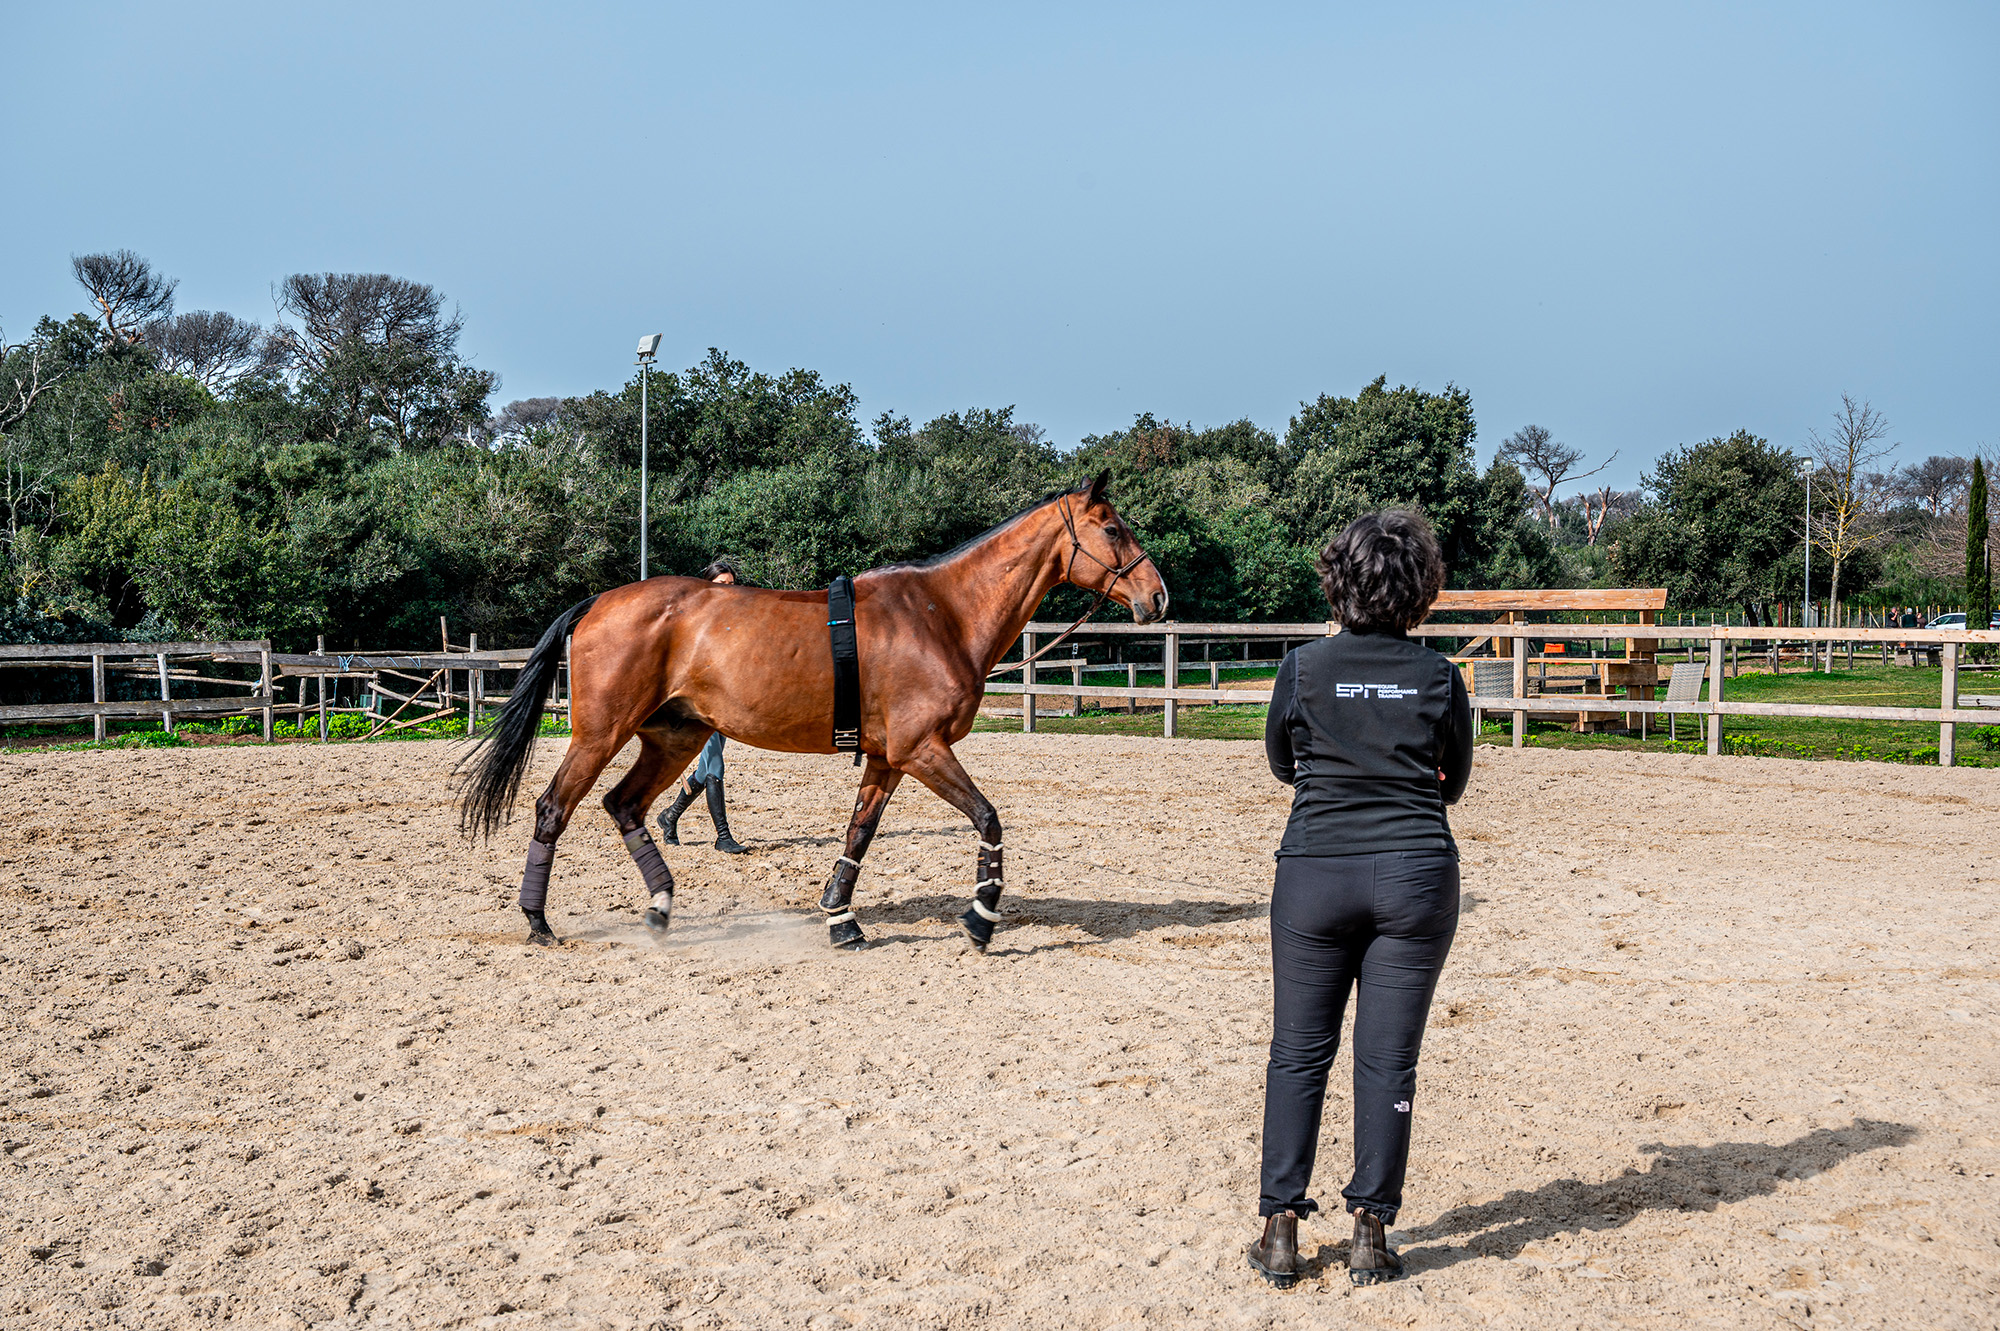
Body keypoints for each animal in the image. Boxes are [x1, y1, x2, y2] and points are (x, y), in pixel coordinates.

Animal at [457, 471, 1170, 951]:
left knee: (623, 805)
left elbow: (859, 834)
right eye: (1112, 527)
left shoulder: (888, 757)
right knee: (555, 808)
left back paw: (659, 908)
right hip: (600, 735)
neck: (941, 613)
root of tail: (599, 602)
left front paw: (841, 917)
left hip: (674, 738)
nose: (1158, 596)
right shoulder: (922, 749)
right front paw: (980, 918)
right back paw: (539, 921)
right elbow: (988, 819)